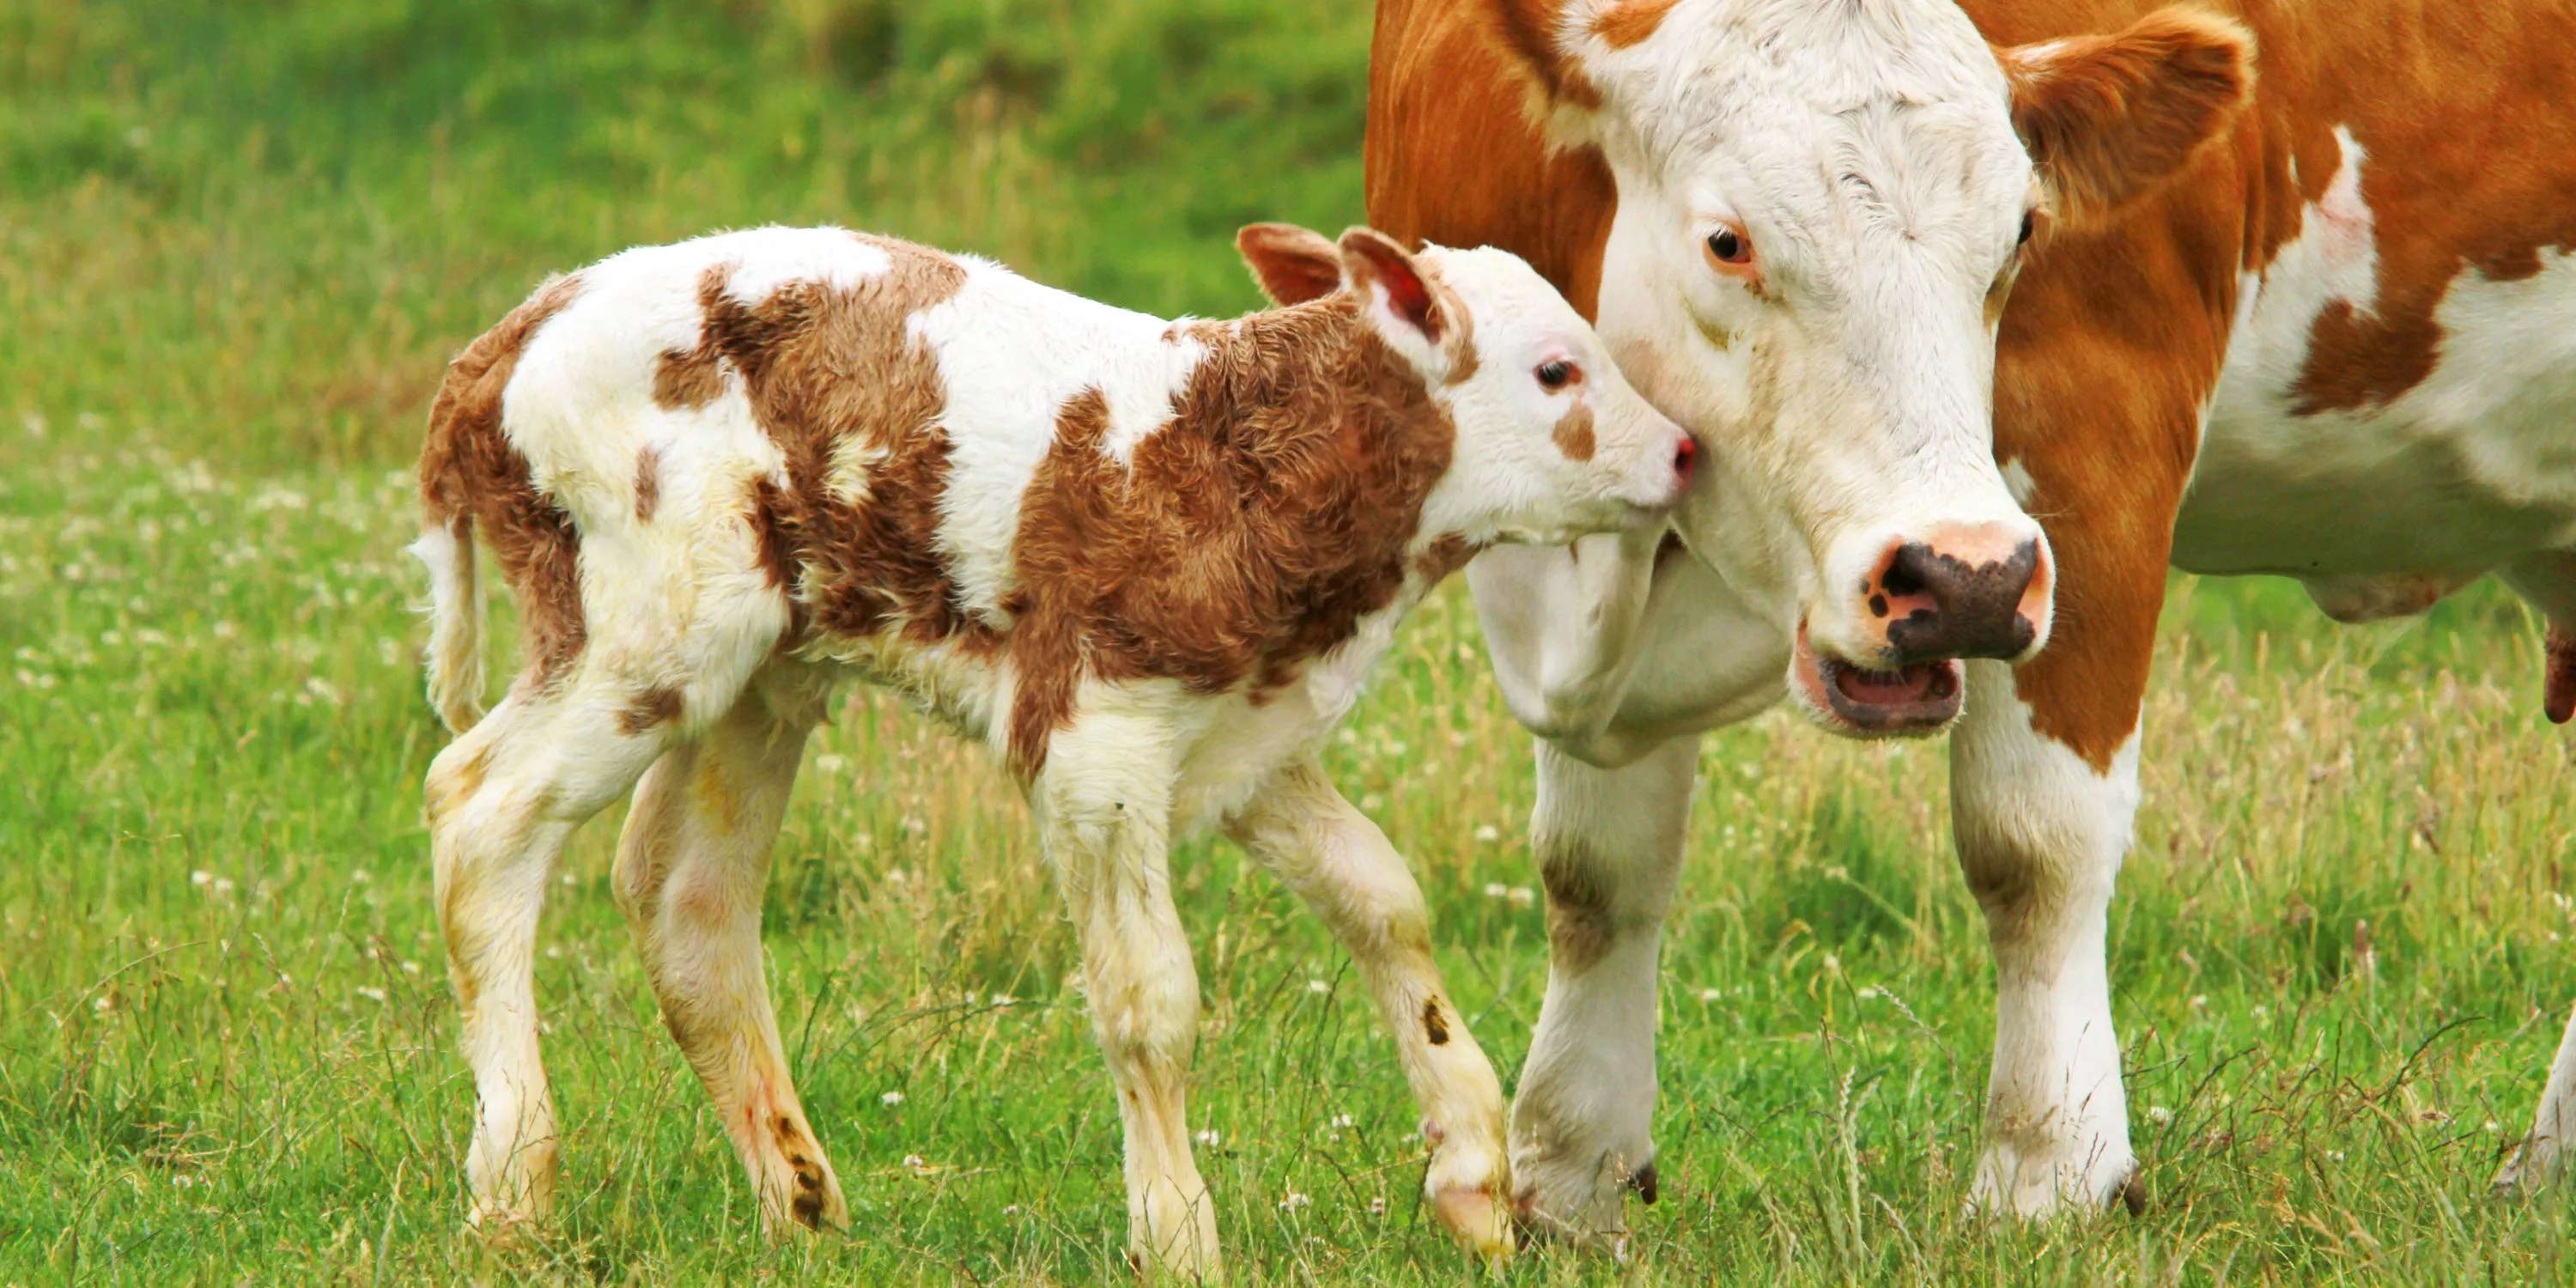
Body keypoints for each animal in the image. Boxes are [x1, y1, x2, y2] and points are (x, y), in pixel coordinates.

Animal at [407, 216, 1690, 1273]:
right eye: (1557, 369)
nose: (1683, 451)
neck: (1229, 460)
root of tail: (515, 331)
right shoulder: (1094, 740)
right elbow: (1149, 999)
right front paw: (1178, 1237)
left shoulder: (1244, 731)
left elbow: (1384, 900)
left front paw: (1471, 1172)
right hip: (648, 626)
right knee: (480, 809)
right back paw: (513, 1187)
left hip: (763, 671)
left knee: (686, 900)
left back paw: (802, 1202)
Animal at [1360, 0, 2576, 1236]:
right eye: (1728, 242)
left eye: (2022, 235)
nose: (1964, 581)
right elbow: (1594, 869)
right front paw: (1572, 1177)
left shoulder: (2095, 439)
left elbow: (2034, 839)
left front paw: (2048, 1173)